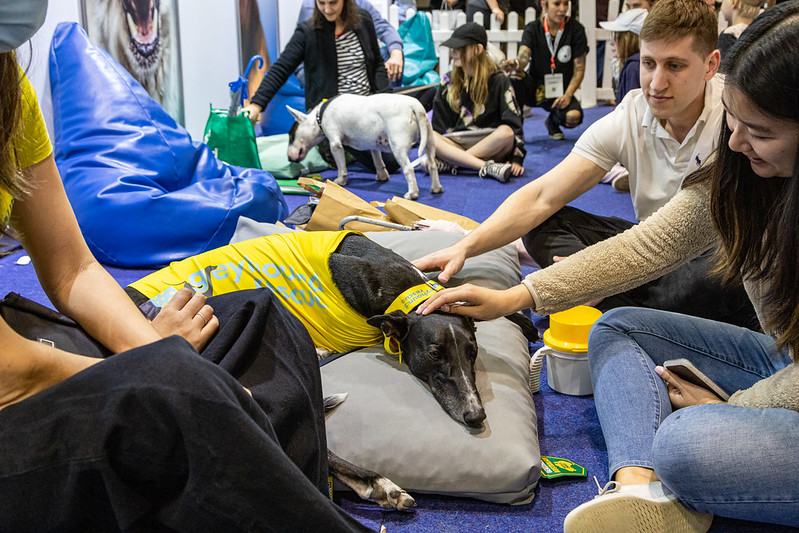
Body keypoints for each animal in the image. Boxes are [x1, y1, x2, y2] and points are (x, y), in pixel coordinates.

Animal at [286, 93, 444, 200]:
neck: (319, 116)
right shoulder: (373, 143)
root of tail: (414, 105)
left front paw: (340, 181)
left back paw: (412, 193)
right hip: (430, 140)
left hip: (398, 146)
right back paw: (436, 188)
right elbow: (378, 160)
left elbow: (341, 167)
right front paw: (382, 176)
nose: (288, 158)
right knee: (432, 165)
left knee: (408, 169)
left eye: (291, 137)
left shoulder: (335, 144)